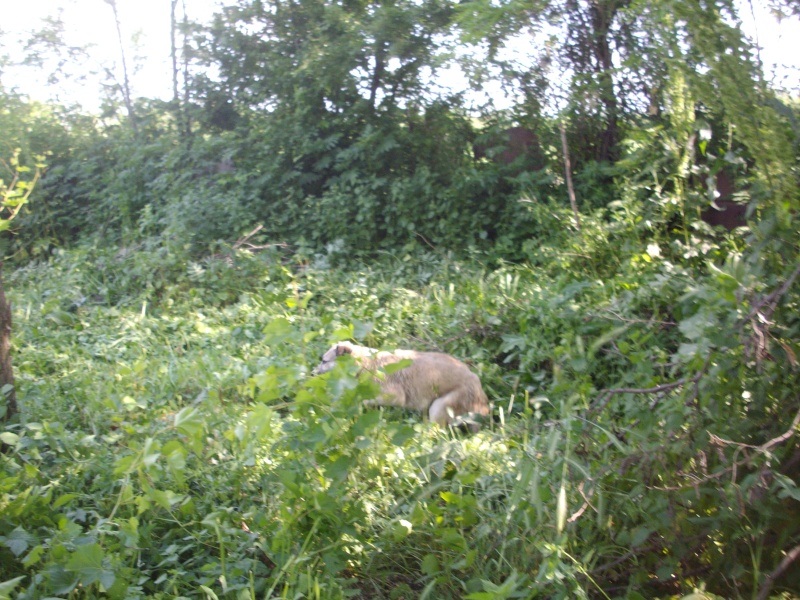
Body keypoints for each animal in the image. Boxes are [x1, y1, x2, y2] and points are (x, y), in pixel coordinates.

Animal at [310, 342, 488, 432]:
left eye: (324, 361)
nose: (312, 374)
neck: (365, 363)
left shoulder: (395, 395)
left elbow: (366, 400)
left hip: (440, 406)